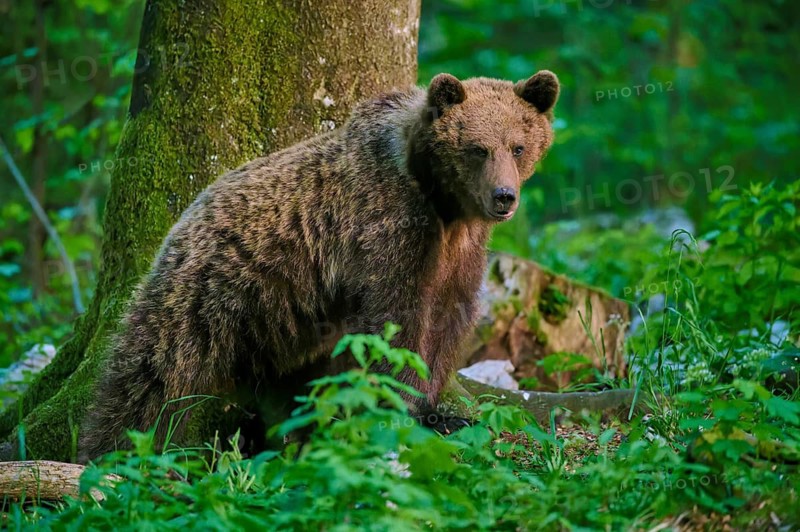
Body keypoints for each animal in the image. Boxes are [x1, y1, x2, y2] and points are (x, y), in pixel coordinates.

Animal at [80, 70, 560, 460]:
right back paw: (111, 448)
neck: (443, 204)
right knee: (152, 373)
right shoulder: (389, 228)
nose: (503, 197)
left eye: (518, 147)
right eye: (478, 148)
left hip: (282, 326)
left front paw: (443, 413)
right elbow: (396, 325)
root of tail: (185, 216)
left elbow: (446, 322)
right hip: (208, 287)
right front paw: (407, 409)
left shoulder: (460, 252)